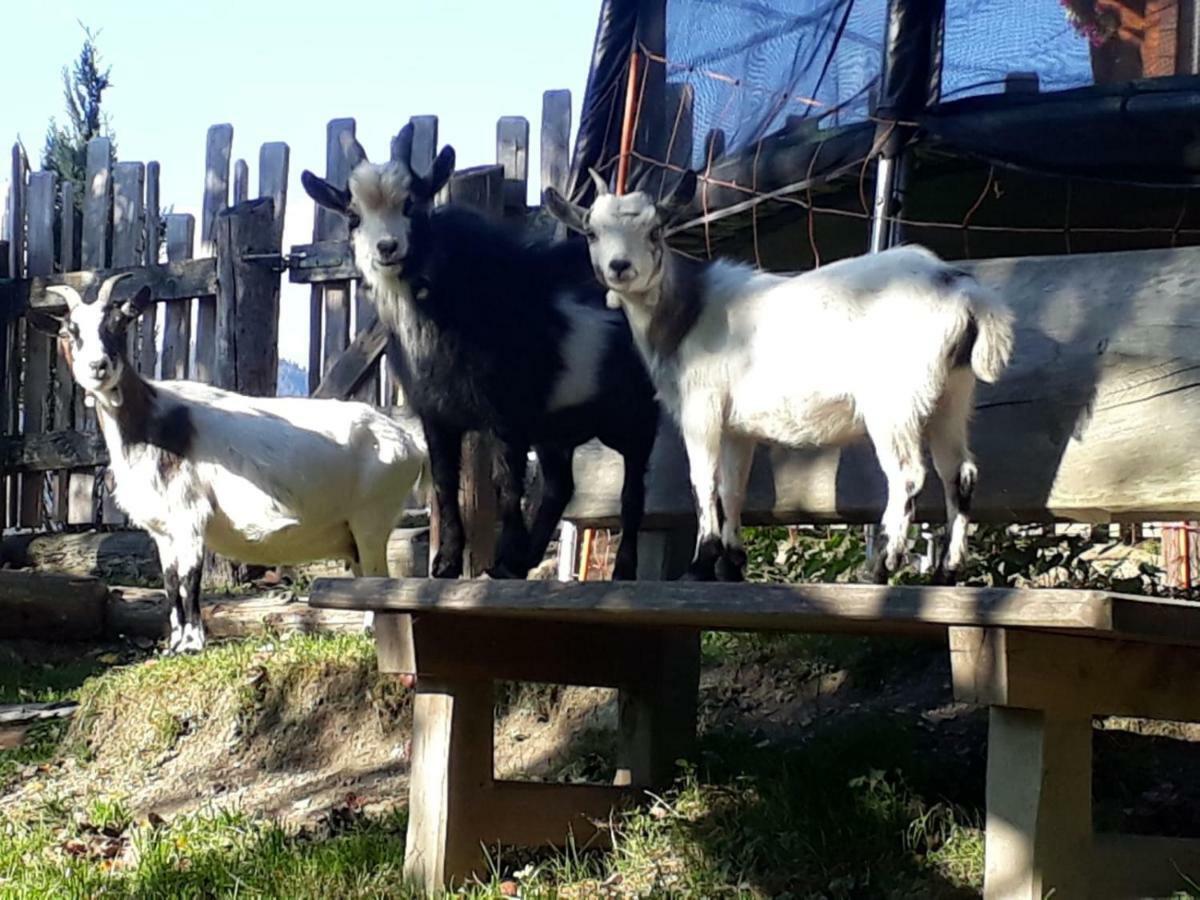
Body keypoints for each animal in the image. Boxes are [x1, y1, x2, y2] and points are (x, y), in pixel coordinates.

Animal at [41, 277, 427, 657]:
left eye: (120, 324)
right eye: (70, 331)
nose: (98, 367)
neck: (154, 424)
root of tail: (408, 442)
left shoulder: (190, 517)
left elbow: (189, 580)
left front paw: (192, 645)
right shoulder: (162, 530)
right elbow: (170, 582)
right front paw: (173, 645)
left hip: (372, 517)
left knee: (379, 576)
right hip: (352, 530)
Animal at [544, 171, 1012, 585]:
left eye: (656, 230)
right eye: (592, 232)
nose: (620, 267)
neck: (687, 312)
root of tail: (960, 288)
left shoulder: (702, 407)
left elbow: (703, 480)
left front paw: (701, 564)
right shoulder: (737, 427)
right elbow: (732, 488)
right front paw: (731, 565)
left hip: (894, 402)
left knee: (909, 474)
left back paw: (881, 566)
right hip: (952, 393)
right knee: (960, 473)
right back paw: (948, 571)